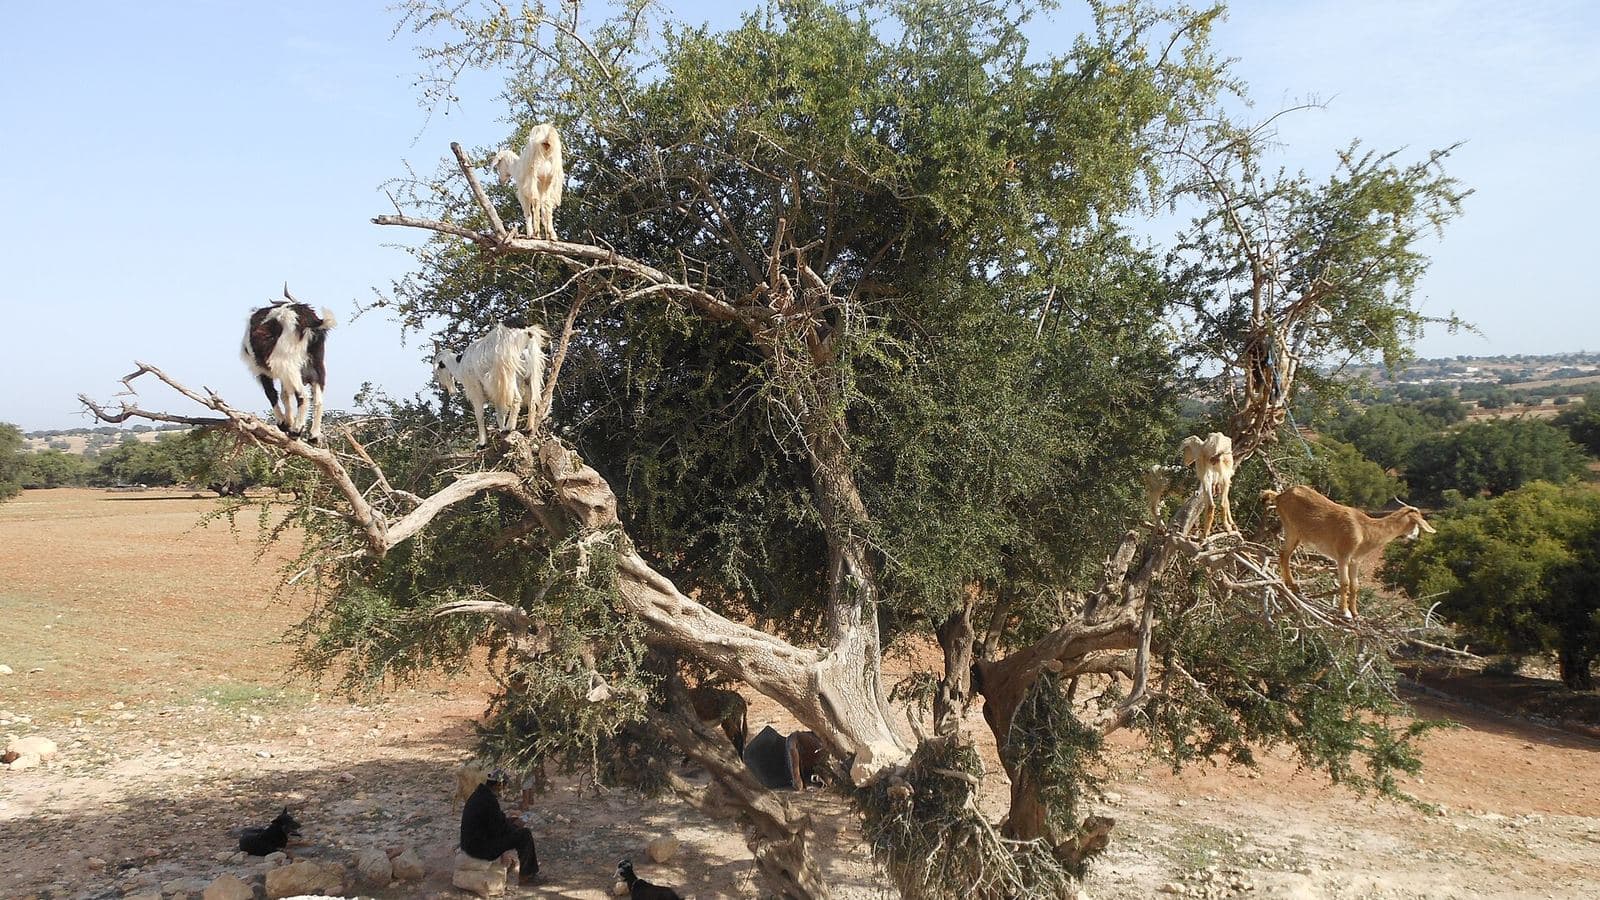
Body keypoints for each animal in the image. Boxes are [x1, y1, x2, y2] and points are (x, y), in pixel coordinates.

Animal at [241, 287, 336, 444]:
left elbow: (271, 393)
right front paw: (288, 421)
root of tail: (311, 321)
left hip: (287, 363)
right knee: (318, 399)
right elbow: (284, 394)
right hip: (317, 365)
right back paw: (314, 436)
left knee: (303, 396)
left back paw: (296, 431)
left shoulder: (260, 369)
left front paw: (283, 423)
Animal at [433, 320, 551, 449]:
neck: (460, 365)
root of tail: (525, 336)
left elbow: (479, 415)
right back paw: (527, 428)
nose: (441, 386)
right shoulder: (497, 395)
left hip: (508, 376)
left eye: (439, 368)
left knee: (516, 399)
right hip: (530, 375)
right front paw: (500, 430)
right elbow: (499, 414)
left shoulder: (476, 389)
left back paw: (509, 428)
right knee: (532, 400)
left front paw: (482, 443)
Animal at [1262, 485, 1436, 619]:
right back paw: (1293, 586)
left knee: (1284, 555)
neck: (1365, 530)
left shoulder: (1355, 561)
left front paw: (1356, 613)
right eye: (1416, 522)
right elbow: (1344, 583)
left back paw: (1293, 586)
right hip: (1292, 530)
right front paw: (1345, 612)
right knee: (1284, 554)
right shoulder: (1343, 557)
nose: (1415, 536)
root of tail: (1279, 496)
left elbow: (1355, 585)